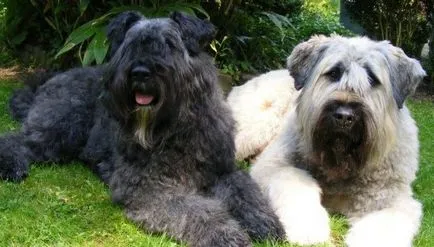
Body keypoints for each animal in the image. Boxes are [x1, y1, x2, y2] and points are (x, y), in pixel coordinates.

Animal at [0, 12, 284, 247]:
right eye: (131, 45)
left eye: (169, 44)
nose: (140, 72)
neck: (176, 128)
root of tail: (51, 79)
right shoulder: (151, 188)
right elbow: (199, 211)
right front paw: (227, 235)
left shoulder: (224, 170)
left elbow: (246, 193)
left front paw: (264, 221)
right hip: (60, 130)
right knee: (16, 140)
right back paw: (10, 165)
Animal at [231, 35, 424, 247]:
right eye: (333, 73)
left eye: (372, 79)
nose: (344, 116)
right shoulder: (276, 166)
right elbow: (298, 185)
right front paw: (308, 229)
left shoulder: (389, 195)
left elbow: (386, 222)